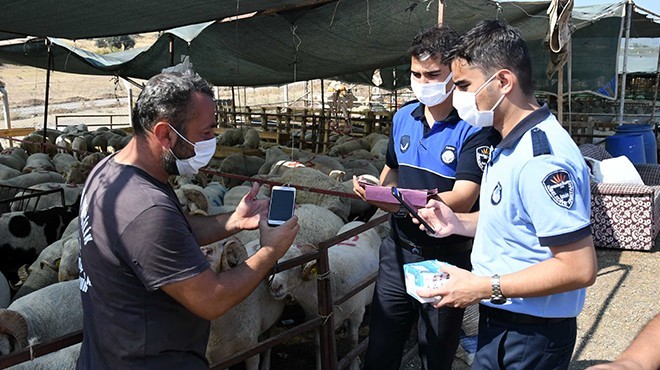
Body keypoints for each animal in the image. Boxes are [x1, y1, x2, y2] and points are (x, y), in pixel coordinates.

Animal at [270, 221, 382, 368]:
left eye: (296, 264)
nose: (275, 286)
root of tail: (358, 222)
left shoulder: (357, 313)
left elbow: (353, 342)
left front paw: (354, 365)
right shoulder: (316, 320)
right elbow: (318, 345)